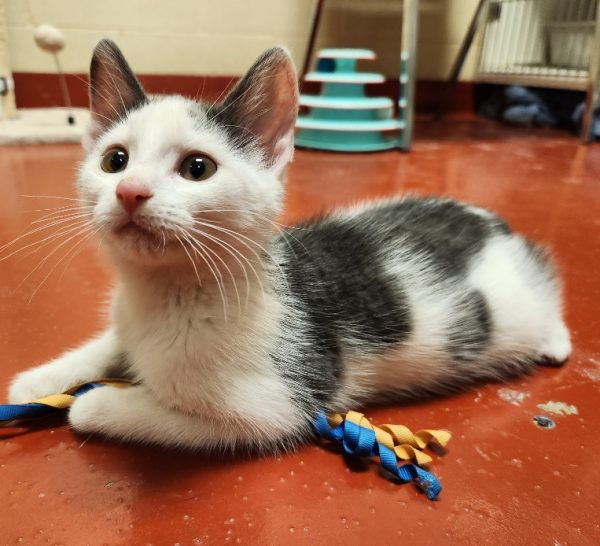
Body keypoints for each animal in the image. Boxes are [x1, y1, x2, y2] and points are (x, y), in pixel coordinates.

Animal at [7, 40, 571, 452]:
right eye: (115, 161)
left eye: (197, 168)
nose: (129, 191)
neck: (166, 296)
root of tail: (491, 222)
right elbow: (108, 344)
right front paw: (40, 380)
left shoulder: (277, 407)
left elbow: (148, 412)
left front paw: (92, 403)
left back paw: (555, 341)